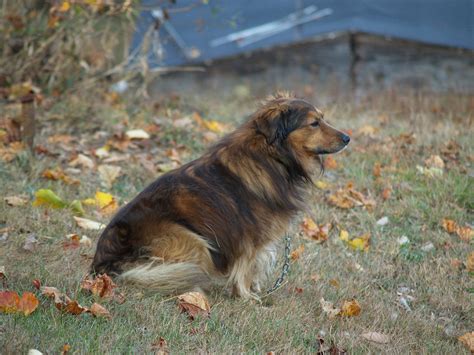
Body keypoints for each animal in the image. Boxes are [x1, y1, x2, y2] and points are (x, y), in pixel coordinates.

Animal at [91, 93, 348, 298]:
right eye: (314, 123)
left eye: (322, 118)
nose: (347, 138)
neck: (271, 156)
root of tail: (101, 266)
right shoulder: (247, 235)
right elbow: (245, 266)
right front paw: (247, 298)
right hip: (193, 241)